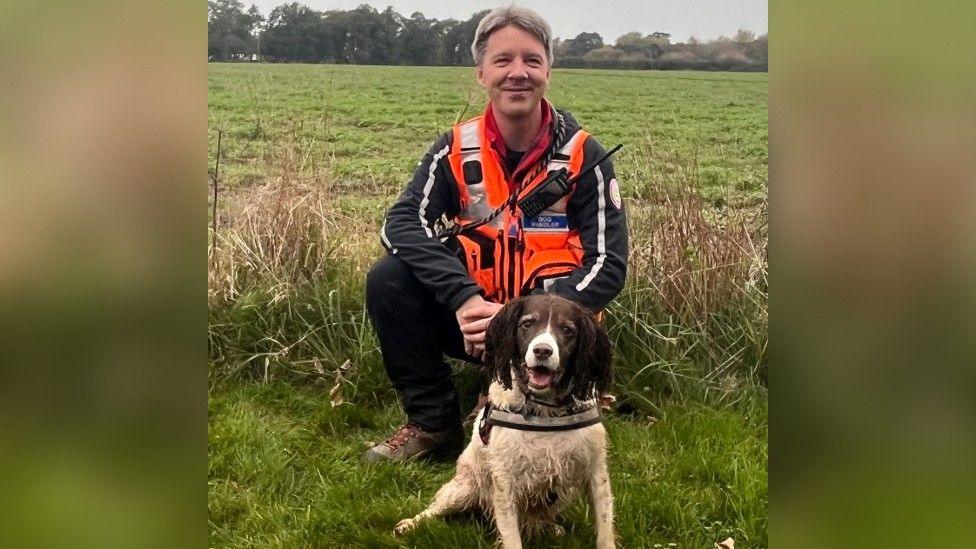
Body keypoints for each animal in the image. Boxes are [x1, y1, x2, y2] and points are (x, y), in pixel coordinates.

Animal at [392, 296, 612, 548]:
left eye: (567, 330)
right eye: (527, 324)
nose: (542, 351)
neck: (545, 412)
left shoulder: (596, 471)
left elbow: (605, 527)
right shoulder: (505, 479)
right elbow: (510, 534)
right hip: (463, 490)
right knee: (434, 509)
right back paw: (409, 524)